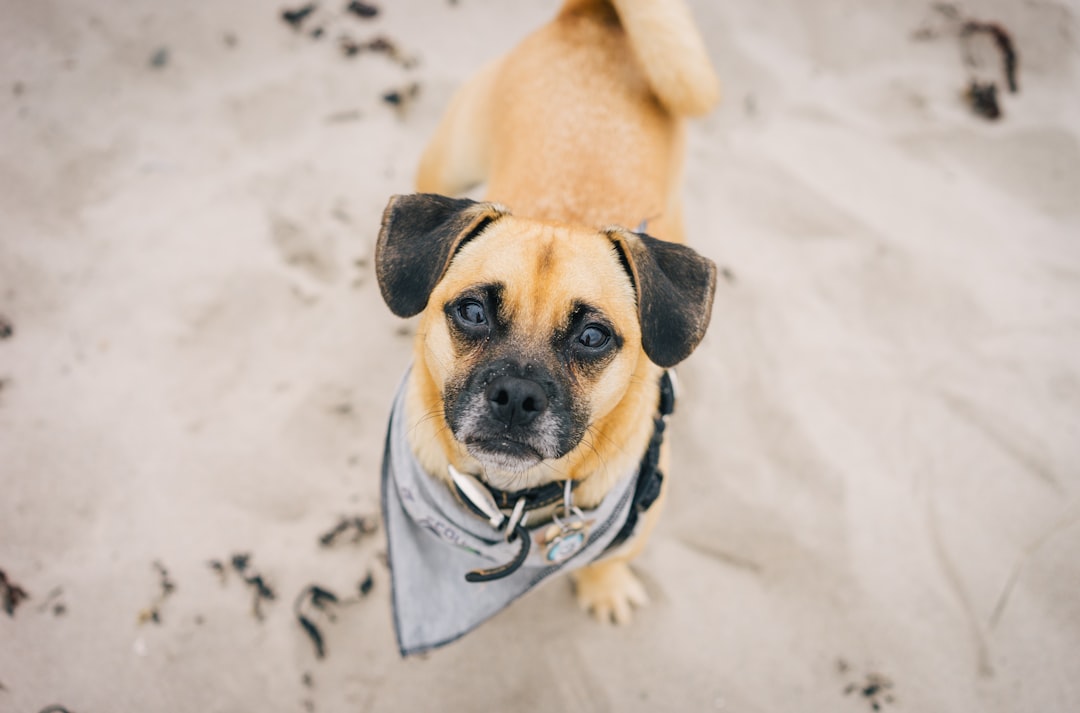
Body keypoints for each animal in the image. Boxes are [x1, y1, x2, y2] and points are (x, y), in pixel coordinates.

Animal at [375, 0, 721, 656]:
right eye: (472, 312)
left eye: (593, 337)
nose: (517, 395)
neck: (509, 501)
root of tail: (593, 17)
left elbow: (609, 558)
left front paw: (604, 588)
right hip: (449, 162)